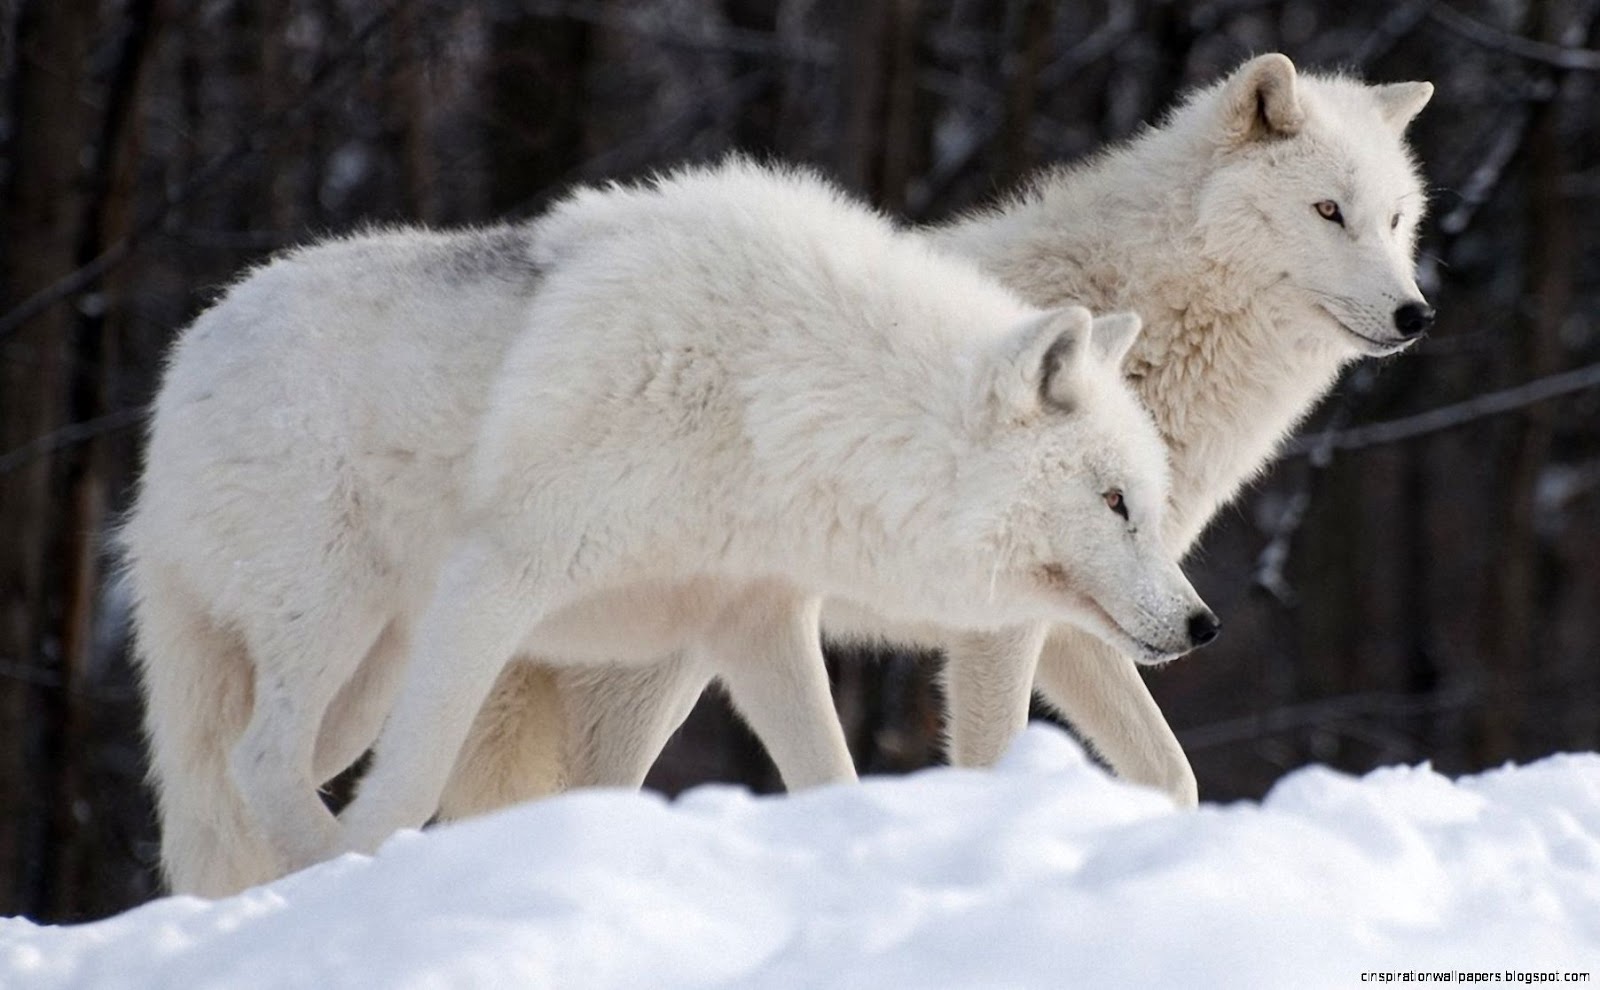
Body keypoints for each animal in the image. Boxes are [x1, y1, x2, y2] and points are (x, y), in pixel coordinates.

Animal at [122, 160, 1215, 892]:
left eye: (1146, 502)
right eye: (1113, 502)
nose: (1203, 624)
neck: (773, 393)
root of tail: (185, 357)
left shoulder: (754, 623)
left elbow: (828, 775)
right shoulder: (498, 580)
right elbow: (413, 781)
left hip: (361, 677)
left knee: (249, 775)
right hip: (337, 627)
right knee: (261, 764)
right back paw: (316, 876)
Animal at [438, 52, 1434, 813]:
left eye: (1395, 219)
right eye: (1328, 211)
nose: (1415, 313)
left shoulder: (1088, 623)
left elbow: (1173, 774)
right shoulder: (1004, 630)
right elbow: (994, 759)